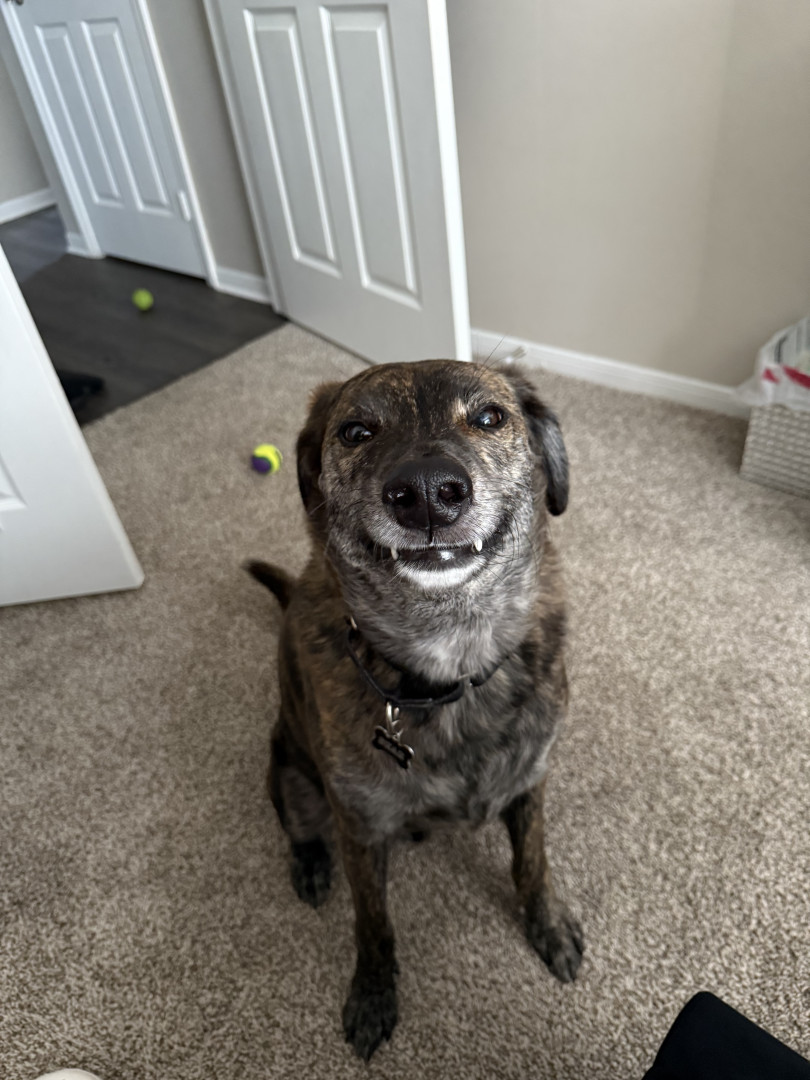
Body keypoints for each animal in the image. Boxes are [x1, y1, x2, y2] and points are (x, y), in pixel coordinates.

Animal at [247, 359, 582, 1059]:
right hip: (291, 780)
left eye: (489, 417)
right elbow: (373, 926)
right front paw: (374, 996)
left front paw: (549, 926)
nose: (427, 491)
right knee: (301, 831)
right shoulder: (361, 826)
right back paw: (310, 868)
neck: (451, 660)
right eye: (355, 431)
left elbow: (532, 864)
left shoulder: (530, 780)